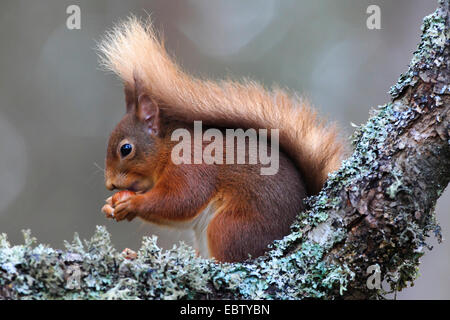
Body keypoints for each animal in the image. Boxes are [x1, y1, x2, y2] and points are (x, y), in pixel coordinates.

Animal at [98, 18, 344, 262]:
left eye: (126, 149)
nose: (109, 185)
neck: (169, 148)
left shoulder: (192, 167)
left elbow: (181, 201)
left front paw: (132, 203)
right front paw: (111, 205)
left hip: (230, 227)